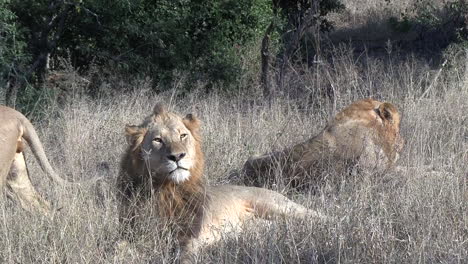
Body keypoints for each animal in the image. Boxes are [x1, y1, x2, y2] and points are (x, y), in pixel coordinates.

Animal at [116, 103, 326, 262]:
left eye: (183, 135)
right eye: (158, 140)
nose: (177, 156)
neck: (167, 190)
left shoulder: (190, 236)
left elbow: (184, 256)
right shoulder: (130, 231)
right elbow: (120, 246)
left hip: (277, 206)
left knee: (319, 216)